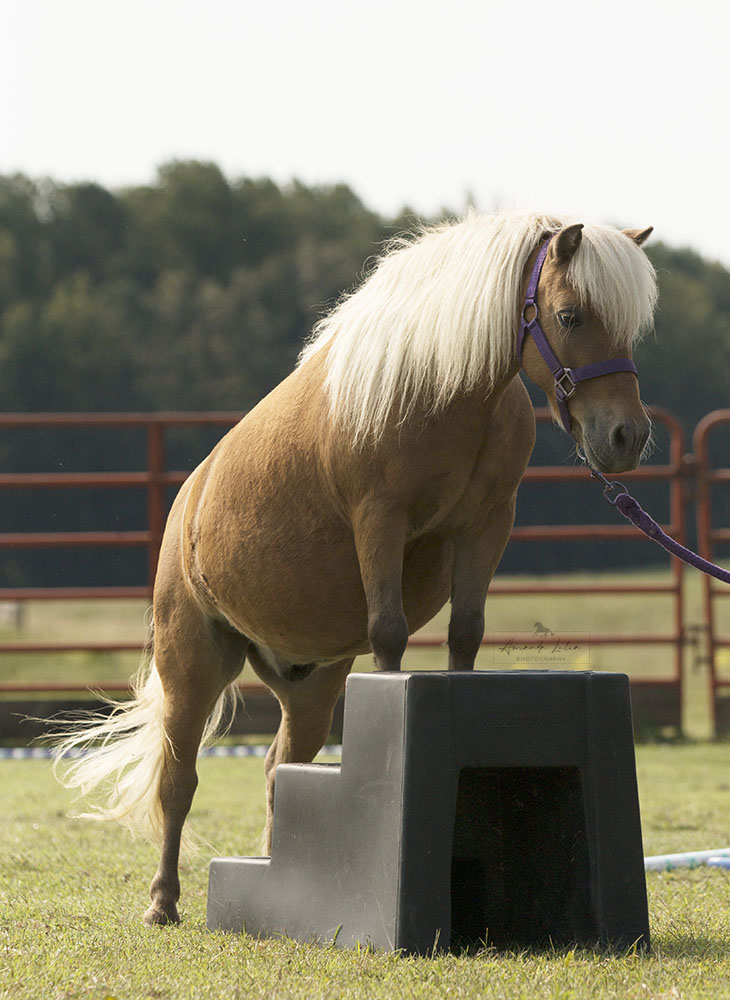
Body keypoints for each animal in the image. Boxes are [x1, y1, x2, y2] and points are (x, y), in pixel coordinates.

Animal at [54, 210, 657, 926]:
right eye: (570, 316)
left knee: (280, 767)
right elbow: (389, 635)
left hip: (310, 684)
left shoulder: (486, 528)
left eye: (632, 327)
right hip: (192, 662)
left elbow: (465, 635)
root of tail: (188, 503)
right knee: (179, 780)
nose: (626, 437)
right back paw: (163, 902)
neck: (443, 388)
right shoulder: (379, 521)